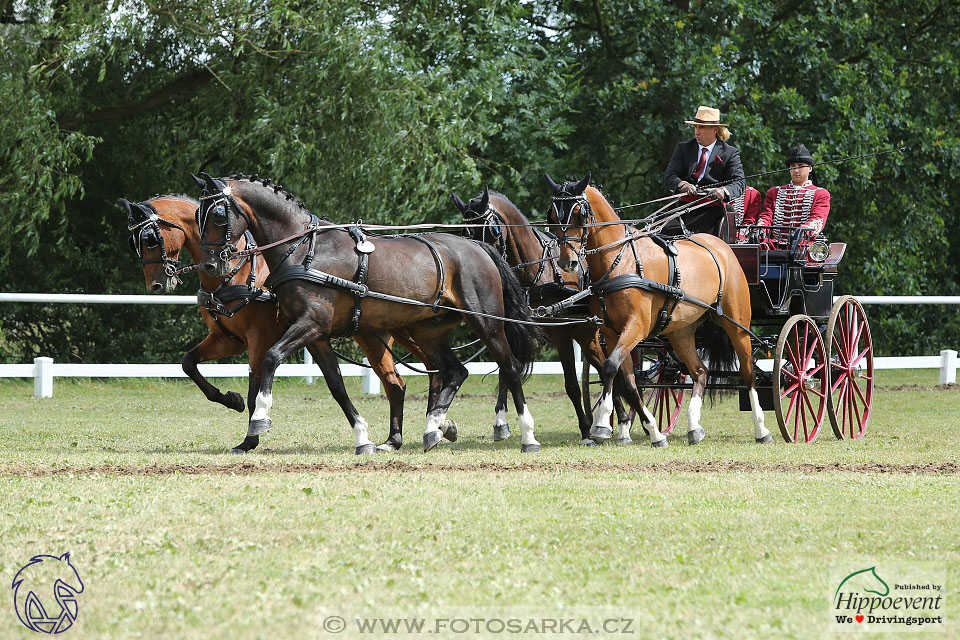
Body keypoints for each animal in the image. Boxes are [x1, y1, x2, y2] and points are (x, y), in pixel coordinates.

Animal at [123, 196, 428, 456]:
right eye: (134, 242)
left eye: (150, 238)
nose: (156, 285)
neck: (236, 272)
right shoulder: (227, 338)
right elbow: (189, 363)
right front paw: (230, 400)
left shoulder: (259, 337)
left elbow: (255, 385)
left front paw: (250, 437)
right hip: (374, 336)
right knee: (395, 383)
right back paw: (396, 438)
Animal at [193, 175, 548, 452]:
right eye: (198, 215)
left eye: (220, 216)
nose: (210, 266)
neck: (306, 250)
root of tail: (478, 248)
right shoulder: (315, 335)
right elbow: (336, 384)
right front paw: (362, 438)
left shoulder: (310, 324)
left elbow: (269, 359)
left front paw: (259, 419)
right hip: (426, 331)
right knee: (454, 372)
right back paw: (432, 428)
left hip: (486, 322)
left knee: (509, 368)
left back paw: (526, 436)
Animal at [452, 185, 636, 444]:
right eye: (465, 233)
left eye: (493, 231)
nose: (479, 264)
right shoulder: (510, 329)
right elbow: (506, 370)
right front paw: (501, 423)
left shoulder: (562, 335)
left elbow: (571, 385)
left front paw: (585, 430)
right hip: (587, 333)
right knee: (604, 368)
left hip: (586, 330)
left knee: (608, 369)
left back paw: (619, 425)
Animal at [540, 172, 772, 448]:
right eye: (552, 216)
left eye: (580, 214)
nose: (568, 262)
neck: (621, 260)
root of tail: (722, 246)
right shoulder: (611, 332)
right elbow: (626, 379)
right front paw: (649, 431)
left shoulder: (636, 327)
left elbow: (610, 367)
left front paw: (602, 423)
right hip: (681, 331)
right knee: (700, 372)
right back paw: (694, 427)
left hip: (737, 324)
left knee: (748, 372)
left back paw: (762, 429)